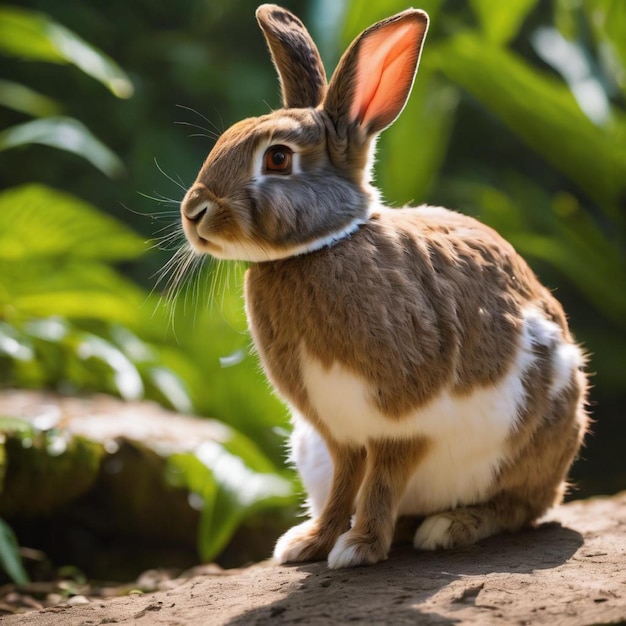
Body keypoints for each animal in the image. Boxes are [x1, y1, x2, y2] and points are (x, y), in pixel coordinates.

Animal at [179, 4, 584, 568]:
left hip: (538, 434)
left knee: (519, 507)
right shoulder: (337, 432)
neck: (320, 247)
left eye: (278, 158)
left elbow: (382, 482)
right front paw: (308, 544)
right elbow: (346, 485)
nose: (193, 213)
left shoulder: (403, 424)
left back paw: (449, 526)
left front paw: (358, 549)